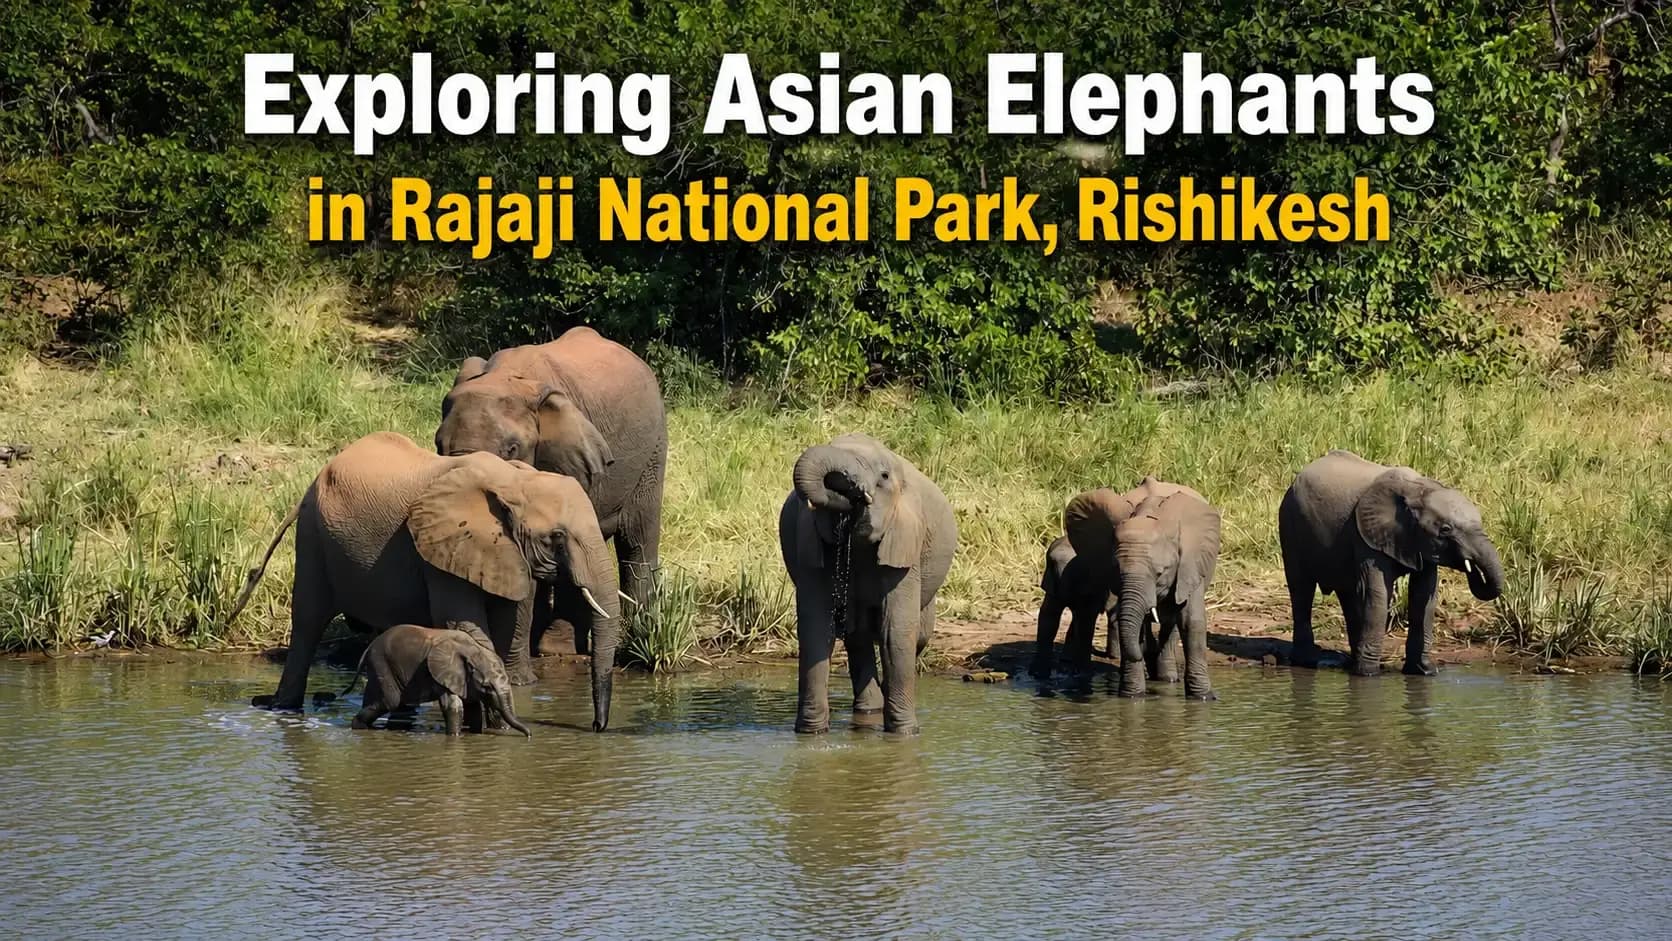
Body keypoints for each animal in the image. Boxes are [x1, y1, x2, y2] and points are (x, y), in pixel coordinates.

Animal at [345, 624, 532, 736]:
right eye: (487, 686)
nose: (530, 735)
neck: (473, 650)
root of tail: (369, 647)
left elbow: (473, 708)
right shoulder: (444, 675)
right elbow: (454, 705)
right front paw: (455, 737)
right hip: (381, 664)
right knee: (390, 702)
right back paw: (360, 728)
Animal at [433, 326, 667, 652]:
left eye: (512, 449)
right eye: (438, 445)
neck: (507, 376)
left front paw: (551, 651)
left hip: (653, 450)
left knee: (637, 538)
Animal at [778, 433, 957, 734]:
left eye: (883, 476)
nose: (852, 494)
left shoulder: (904, 541)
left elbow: (895, 630)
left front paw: (904, 734)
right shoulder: (810, 544)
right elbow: (816, 627)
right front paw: (810, 734)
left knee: (917, 635)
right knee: (857, 636)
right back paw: (869, 710)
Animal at [1060, 477, 1222, 698]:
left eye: (1160, 573)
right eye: (1116, 570)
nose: (1144, 657)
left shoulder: (1191, 563)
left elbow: (1191, 622)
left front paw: (1203, 698)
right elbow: (1128, 621)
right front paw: (1132, 696)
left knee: (1169, 621)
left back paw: (1166, 677)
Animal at [1278, 449, 1506, 677]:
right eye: (1446, 529)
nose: (1472, 565)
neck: (1417, 489)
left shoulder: (1421, 543)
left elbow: (1424, 595)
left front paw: (1424, 672)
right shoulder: (1366, 536)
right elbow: (1377, 593)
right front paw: (1368, 674)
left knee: (1348, 594)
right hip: (1289, 524)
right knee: (1301, 589)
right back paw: (1307, 661)